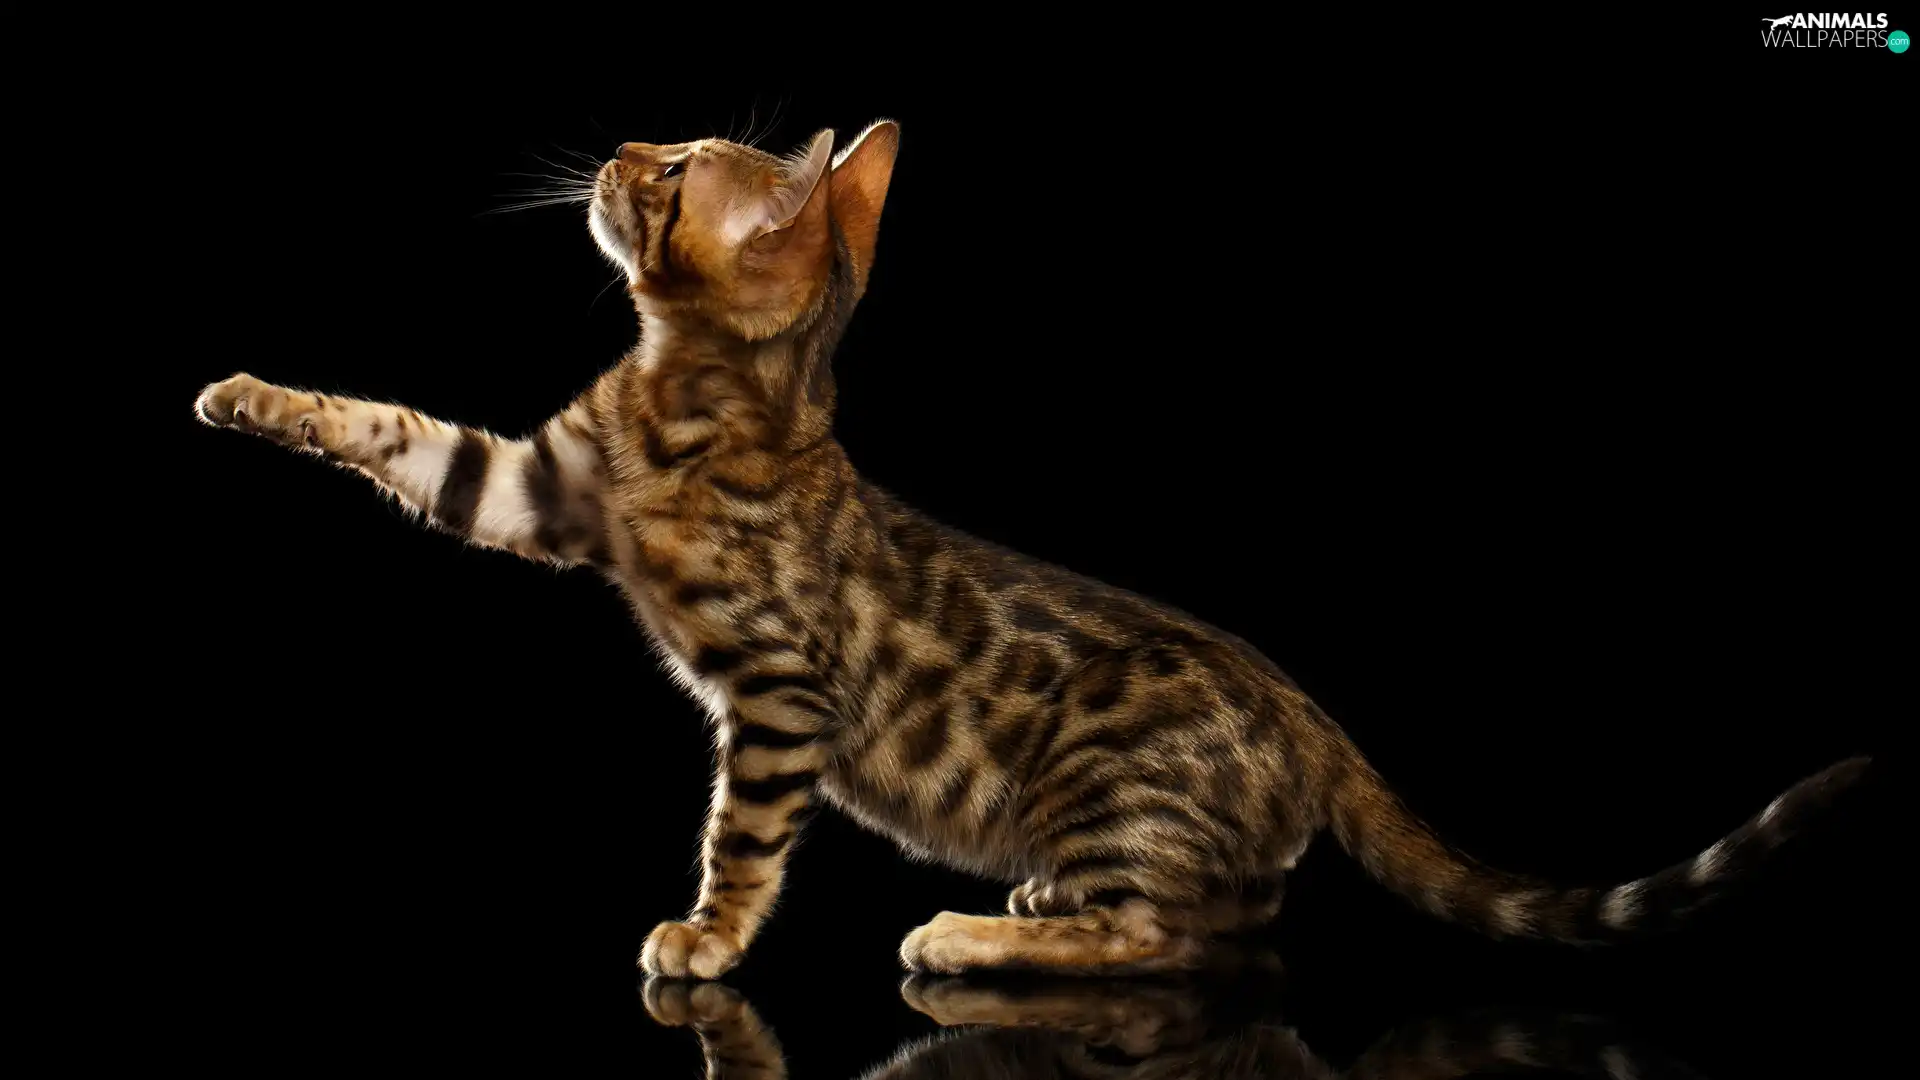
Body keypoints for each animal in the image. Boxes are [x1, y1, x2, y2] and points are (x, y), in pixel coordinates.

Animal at [194, 117, 1873, 976]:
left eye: (669, 173)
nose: (616, 136)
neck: (691, 393)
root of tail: (1313, 715)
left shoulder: (779, 689)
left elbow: (743, 836)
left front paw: (709, 940)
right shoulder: (534, 486)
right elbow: (389, 424)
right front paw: (245, 392)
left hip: (1107, 779)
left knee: (1167, 943)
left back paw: (967, 943)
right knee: (1225, 915)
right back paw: (1029, 913)